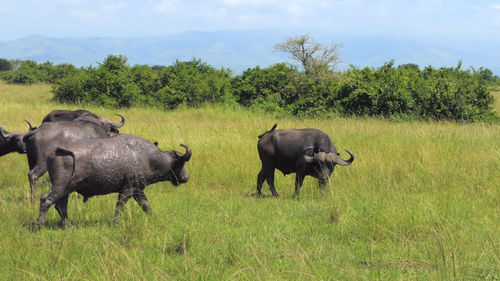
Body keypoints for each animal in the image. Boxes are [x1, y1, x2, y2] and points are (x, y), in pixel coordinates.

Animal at [34, 132, 191, 226]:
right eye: (180, 163)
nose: (186, 178)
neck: (147, 157)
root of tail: (56, 151)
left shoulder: (138, 190)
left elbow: (146, 206)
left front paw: (154, 219)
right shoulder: (127, 190)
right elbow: (119, 208)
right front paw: (116, 223)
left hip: (66, 190)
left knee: (61, 206)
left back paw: (67, 225)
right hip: (59, 187)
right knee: (46, 200)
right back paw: (39, 225)